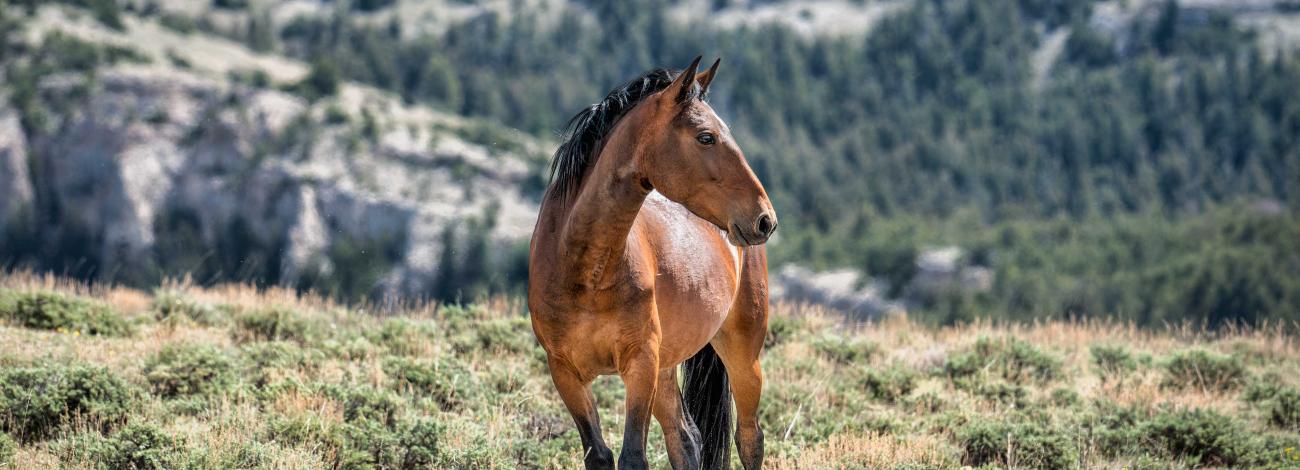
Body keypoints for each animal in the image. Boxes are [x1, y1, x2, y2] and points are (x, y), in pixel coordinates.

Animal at [528, 56, 778, 470]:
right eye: (706, 137)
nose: (764, 219)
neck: (585, 270)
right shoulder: (564, 371)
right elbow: (600, 454)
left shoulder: (640, 363)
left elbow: (633, 456)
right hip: (666, 367)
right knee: (686, 439)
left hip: (742, 353)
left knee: (749, 438)